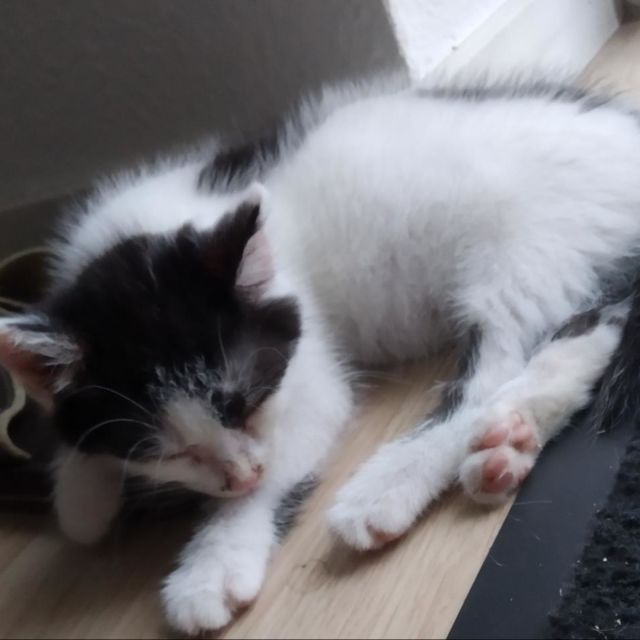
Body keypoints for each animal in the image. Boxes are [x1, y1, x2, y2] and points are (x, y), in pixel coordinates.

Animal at [2, 74, 640, 635]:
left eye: (245, 404)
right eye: (171, 450)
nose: (240, 476)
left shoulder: (305, 374)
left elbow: (293, 441)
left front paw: (214, 563)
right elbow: (82, 496)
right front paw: (83, 492)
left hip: (527, 247)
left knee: (494, 368)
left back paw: (391, 485)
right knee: (591, 329)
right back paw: (509, 441)